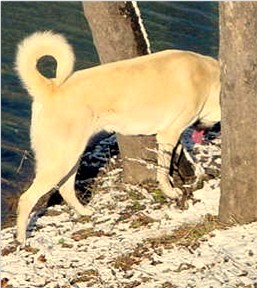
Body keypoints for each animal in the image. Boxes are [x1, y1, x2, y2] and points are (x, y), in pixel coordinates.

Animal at [15, 31, 220, 243]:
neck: (208, 78)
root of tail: (50, 88)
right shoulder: (168, 134)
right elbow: (163, 171)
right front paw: (170, 191)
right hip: (60, 160)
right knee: (27, 198)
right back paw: (22, 240)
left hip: (72, 156)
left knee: (66, 189)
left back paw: (84, 212)